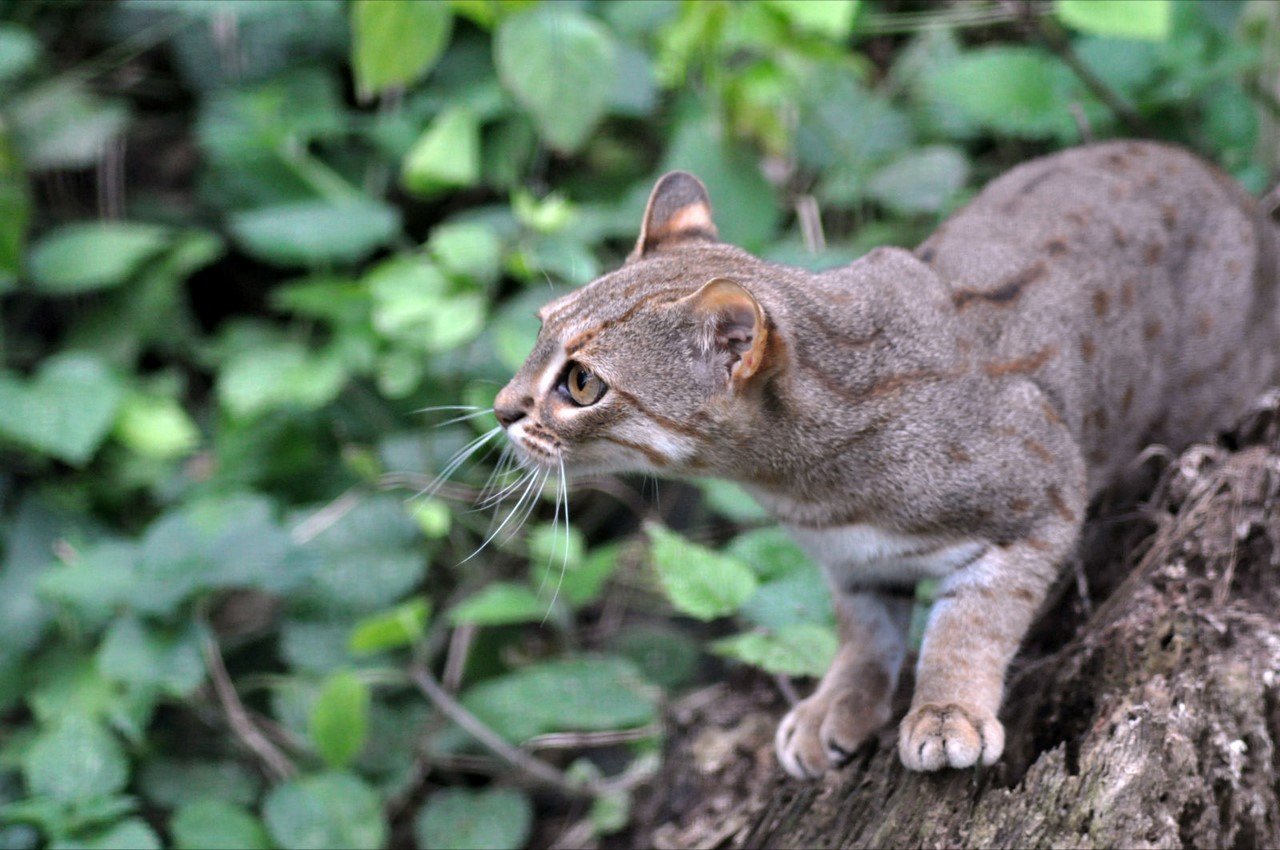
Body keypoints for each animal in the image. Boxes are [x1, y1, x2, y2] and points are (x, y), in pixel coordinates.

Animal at [488, 140, 1280, 778]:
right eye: (540, 330)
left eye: (581, 383)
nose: (500, 409)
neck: (799, 490)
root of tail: (1236, 192)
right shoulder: (852, 561)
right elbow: (863, 634)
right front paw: (837, 704)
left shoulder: (1043, 497)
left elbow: (970, 625)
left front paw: (947, 710)